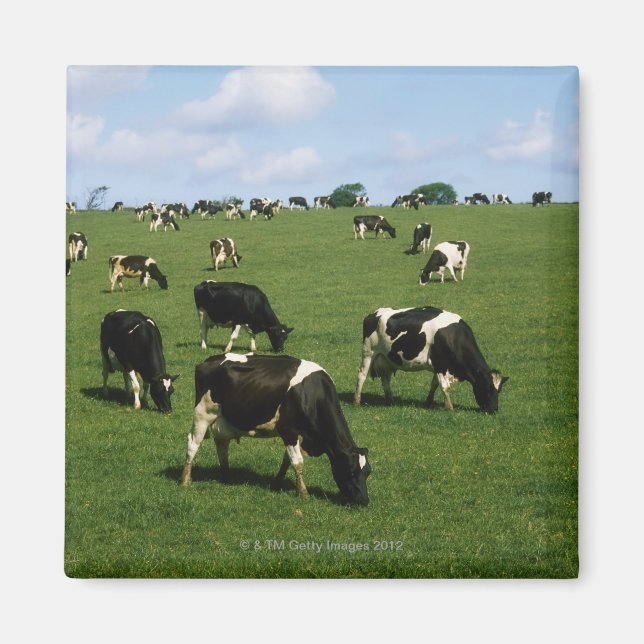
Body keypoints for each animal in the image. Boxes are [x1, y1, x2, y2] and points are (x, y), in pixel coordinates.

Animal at [180, 353, 371, 505]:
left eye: (368, 472)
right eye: (351, 471)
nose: (363, 500)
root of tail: (208, 361)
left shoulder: (298, 435)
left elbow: (287, 460)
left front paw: (277, 483)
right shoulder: (289, 430)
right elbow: (297, 461)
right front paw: (304, 493)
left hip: (223, 422)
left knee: (222, 447)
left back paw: (227, 477)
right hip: (202, 414)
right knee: (192, 444)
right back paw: (185, 480)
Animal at [353, 306, 508, 413]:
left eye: (499, 389)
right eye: (487, 388)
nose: (494, 409)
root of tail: (374, 314)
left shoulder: (439, 365)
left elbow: (434, 384)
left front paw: (428, 402)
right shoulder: (441, 364)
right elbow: (445, 386)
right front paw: (450, 408)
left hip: (387, 358)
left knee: (385, 379)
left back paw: (390, 401)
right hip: (368, 352)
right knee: (361, 375)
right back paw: (357, 401)